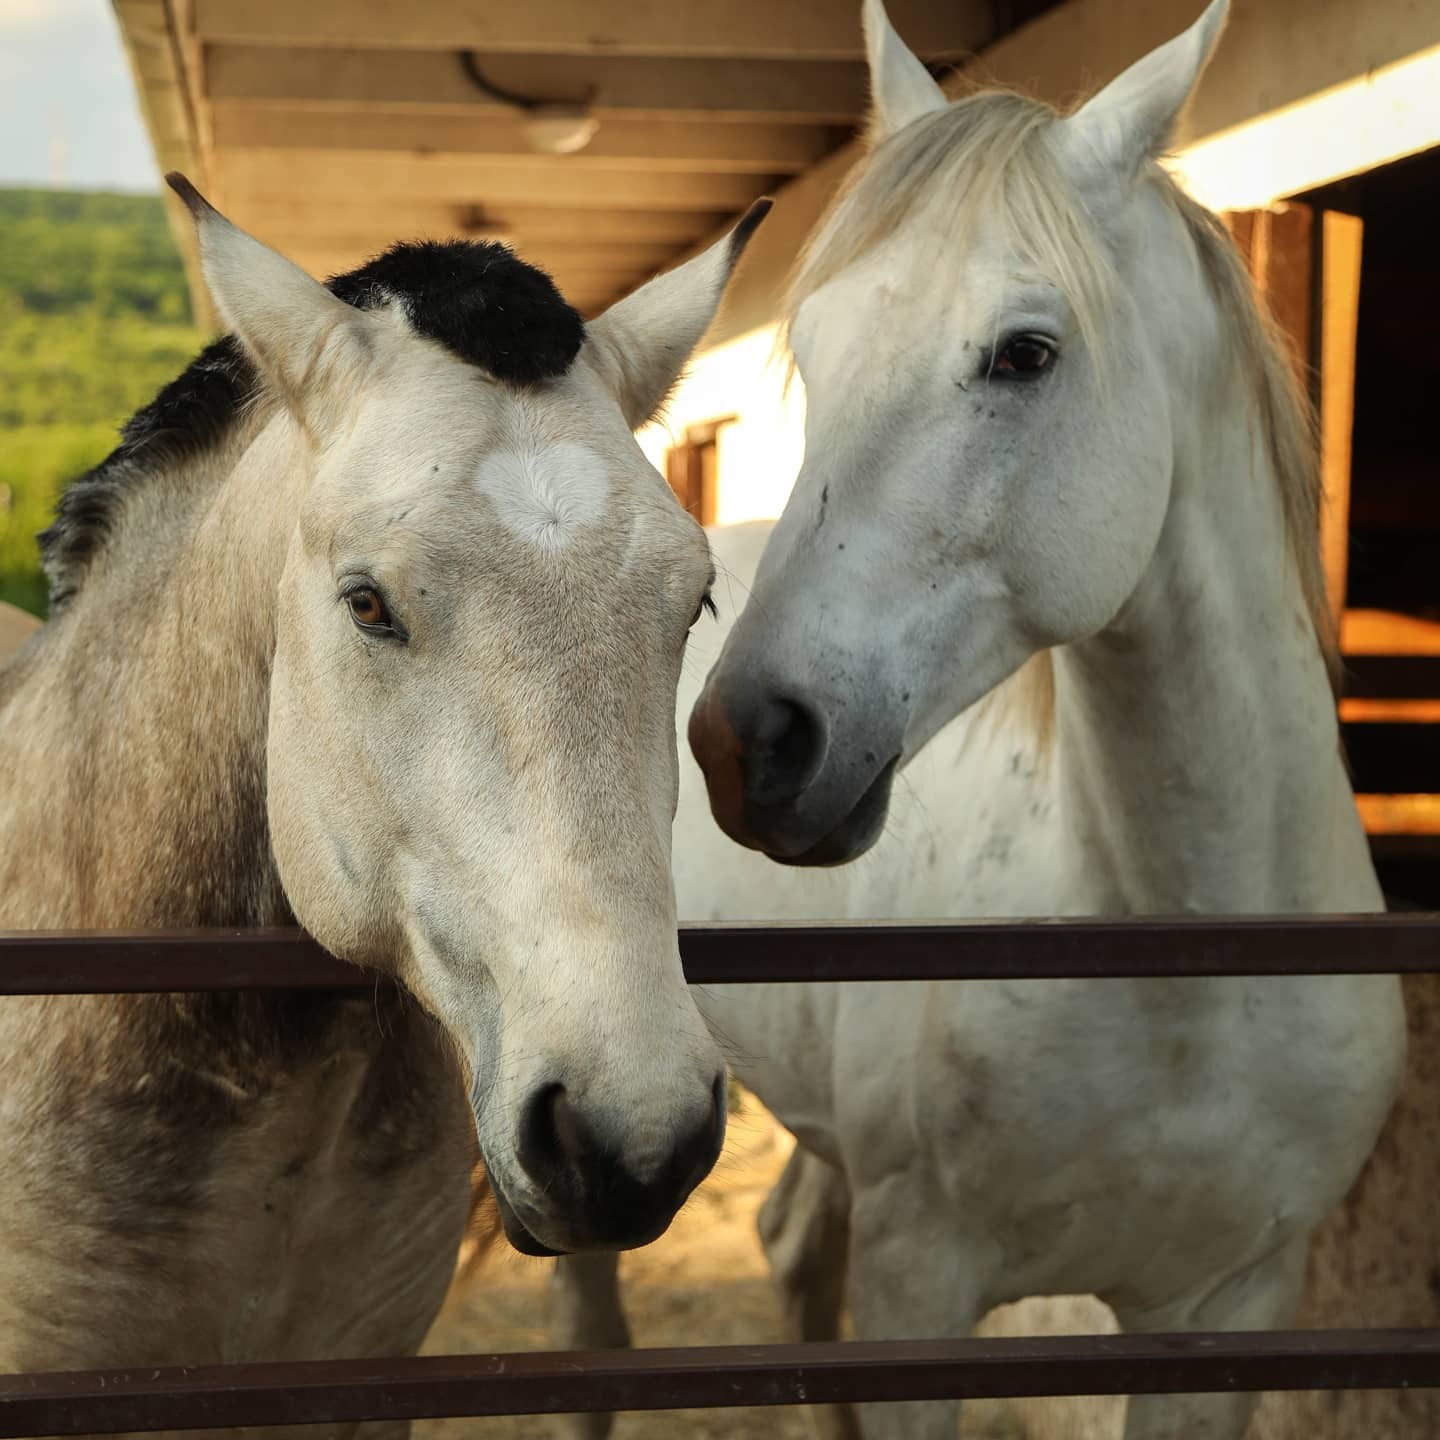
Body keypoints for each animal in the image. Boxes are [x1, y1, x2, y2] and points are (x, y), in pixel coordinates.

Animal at [552, 2, 1405, 1440]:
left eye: (1024, 354)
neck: (1184, 958)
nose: (747, 742)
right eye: (816, 352)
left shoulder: (1227, 1309)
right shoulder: (925, 1291)